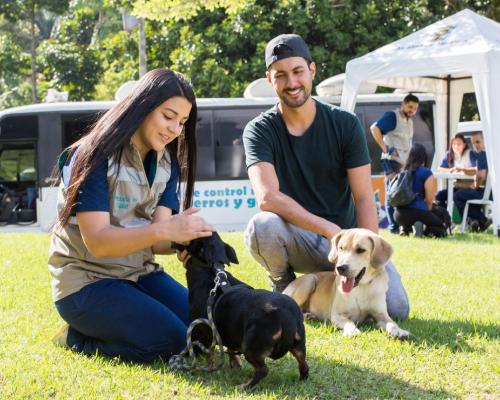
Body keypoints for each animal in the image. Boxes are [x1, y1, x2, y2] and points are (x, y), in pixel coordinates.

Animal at [173, 233, 308, 390]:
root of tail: (285, 316)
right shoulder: (229, 331)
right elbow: (231, 349)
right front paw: (235, 364)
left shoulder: (204, 330)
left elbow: (209, 354)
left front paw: (210, 369)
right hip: (299, 344)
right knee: (304, 364)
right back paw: (302, 379)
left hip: (251, 347)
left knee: (262, 370)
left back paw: (245, 386)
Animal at [284, 230, 412, 340]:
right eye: (341, 248)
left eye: (360, 250)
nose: (340, 268)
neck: (361, 287)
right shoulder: (337, 315)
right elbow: (349, 322)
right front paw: (352, 331)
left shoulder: (381, 315)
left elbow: (392, 323)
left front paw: (399, 331)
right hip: (310, 280)